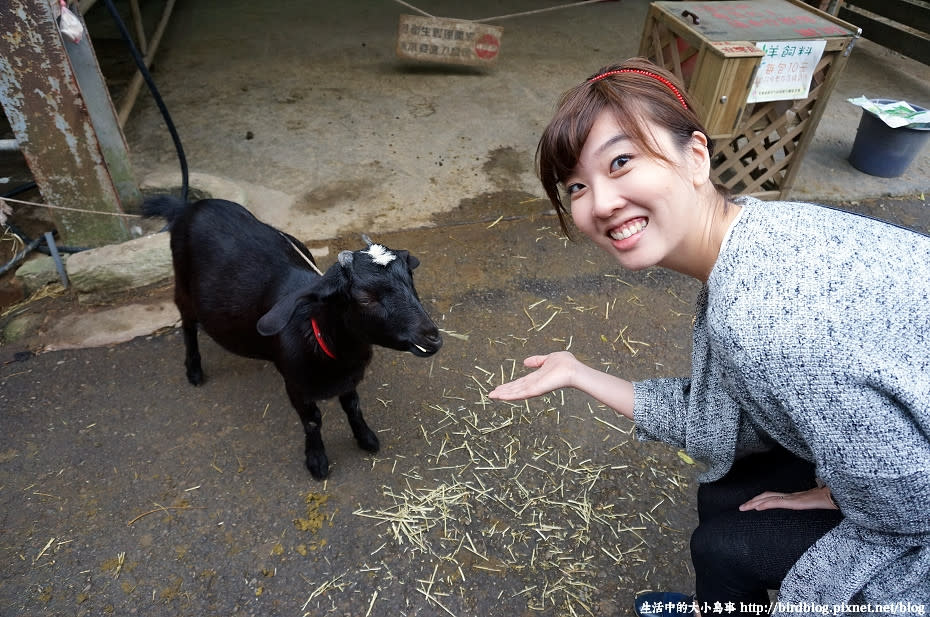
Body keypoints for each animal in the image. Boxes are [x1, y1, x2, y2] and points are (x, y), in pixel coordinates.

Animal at [143, 195, 440, 478]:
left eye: (410, 281)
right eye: (366, 297)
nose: (432, 337)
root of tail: (186, 206)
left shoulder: (348, 378)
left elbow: (353, 407)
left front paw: (366, 438)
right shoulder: (295, 384)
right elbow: (312, 420)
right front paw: (317, 461)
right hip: (183, 288)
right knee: (188, 324)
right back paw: (193, 370)